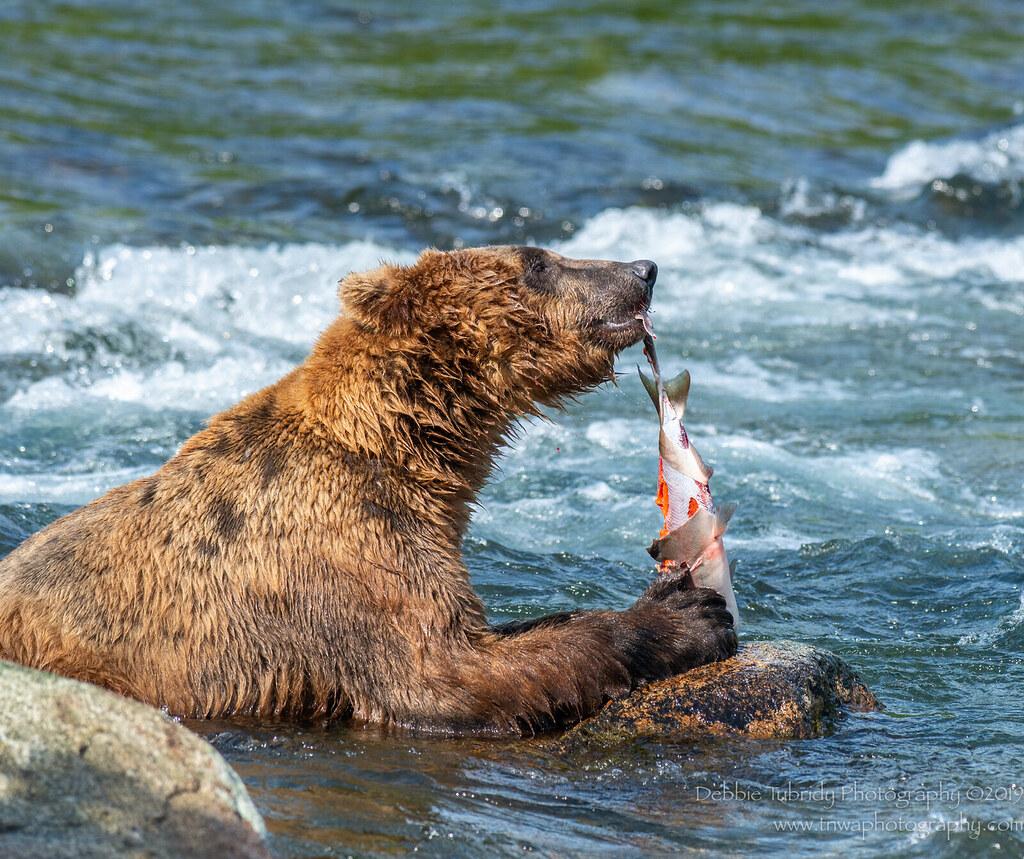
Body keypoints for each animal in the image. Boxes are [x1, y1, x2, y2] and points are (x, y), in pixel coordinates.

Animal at [0, 245, 737, 737]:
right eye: (538, 262)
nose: (643, 269)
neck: (407, 443)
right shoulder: (340, 545)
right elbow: (443, 671)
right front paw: (686, 614)